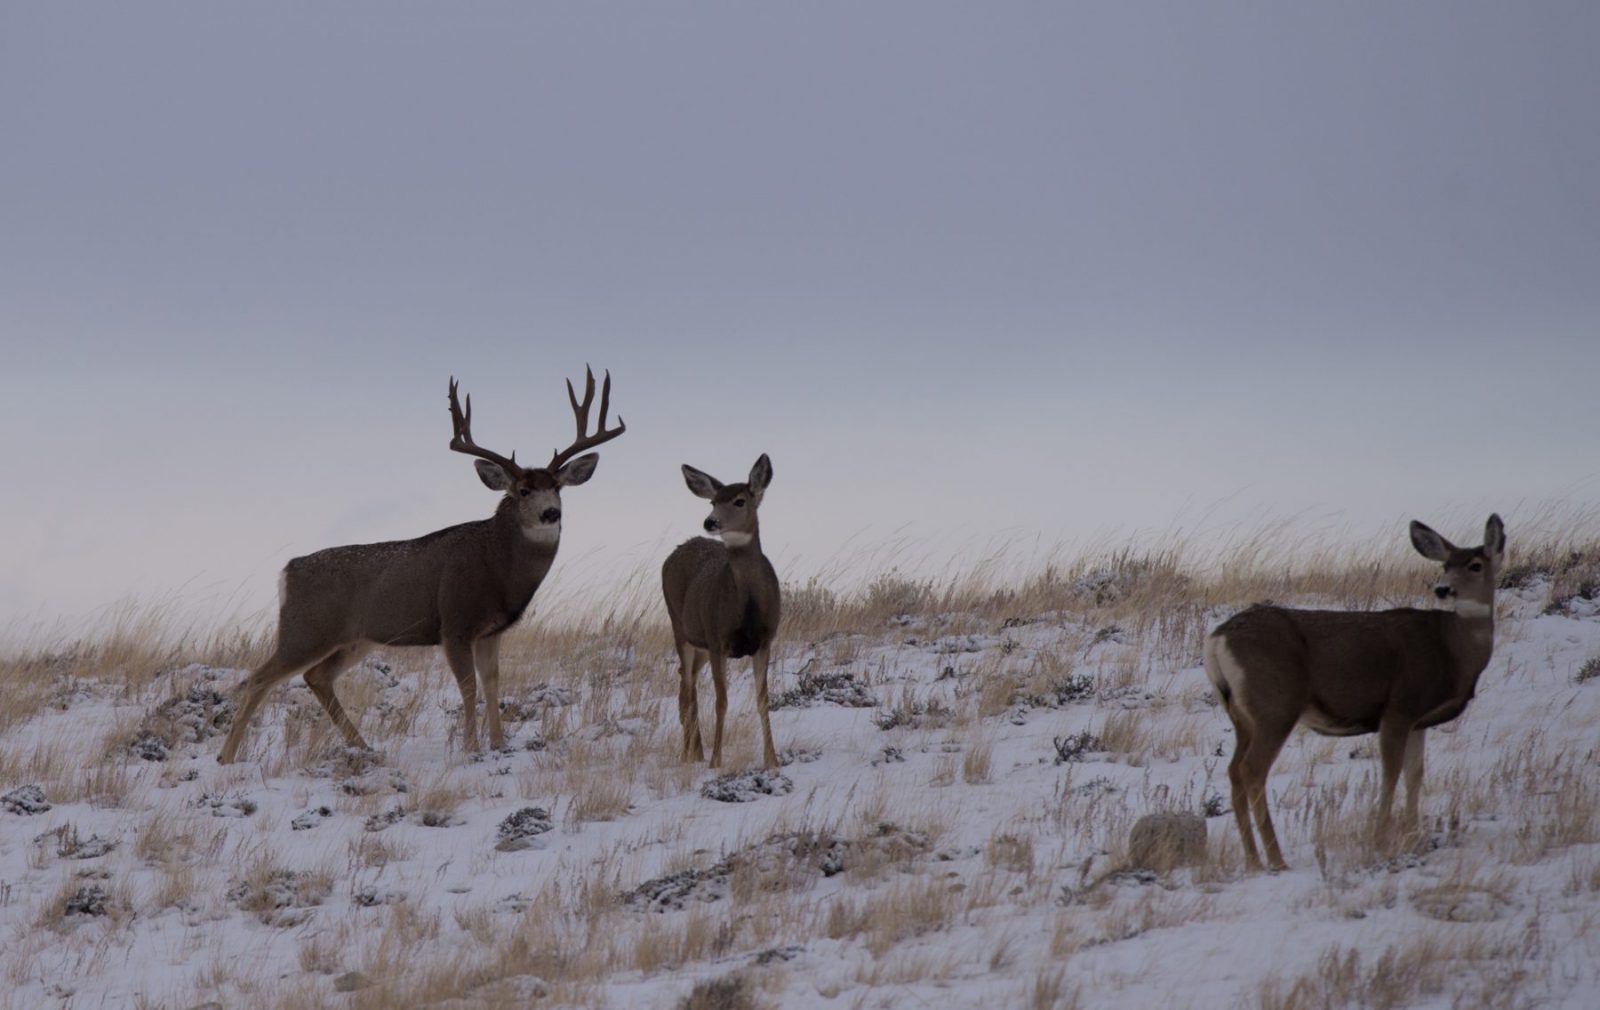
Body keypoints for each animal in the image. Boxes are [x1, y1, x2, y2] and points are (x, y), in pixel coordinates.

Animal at [216, 368, 627, 761]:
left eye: (557, 486)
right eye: (523, 491)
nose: (550, 513)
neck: (498, 566)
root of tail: (288, 572)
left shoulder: (491, 631)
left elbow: (493, 682)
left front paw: (499, 744)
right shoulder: (455, 621)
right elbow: (468, 685)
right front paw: (471, 747)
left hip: (354, 638)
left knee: (316, 676)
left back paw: (363, 747)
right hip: (305, 629)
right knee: (259, 678)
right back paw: (226, 757)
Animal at [662, 454, 780, 771]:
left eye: (740, 501)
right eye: (713, 501)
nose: (710, 521)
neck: (747, 609)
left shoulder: (766, 640)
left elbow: (763, 699)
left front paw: (772, 759)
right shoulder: (718, 640)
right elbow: (721, 701)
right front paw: (716, 761)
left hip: (699, 645)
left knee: (684, 679)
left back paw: (694, 751)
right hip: (681, 628)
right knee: (689, 688)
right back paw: (692, 754)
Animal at [1203, 512, 1504, 870]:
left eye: (1474, 565)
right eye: (1445, 565)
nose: (1443, 589)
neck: (1453, 648)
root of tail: (1217, 639)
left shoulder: (1418, 720)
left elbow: (1415, 774)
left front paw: (1413, 836)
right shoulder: (1399, 706)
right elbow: (1391, 771)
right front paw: (1381, 838)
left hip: (1241, 716)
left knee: (1234, 770)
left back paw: (1253, 861)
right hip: (1275, 706)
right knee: (1252, 770)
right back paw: (1276, 859)